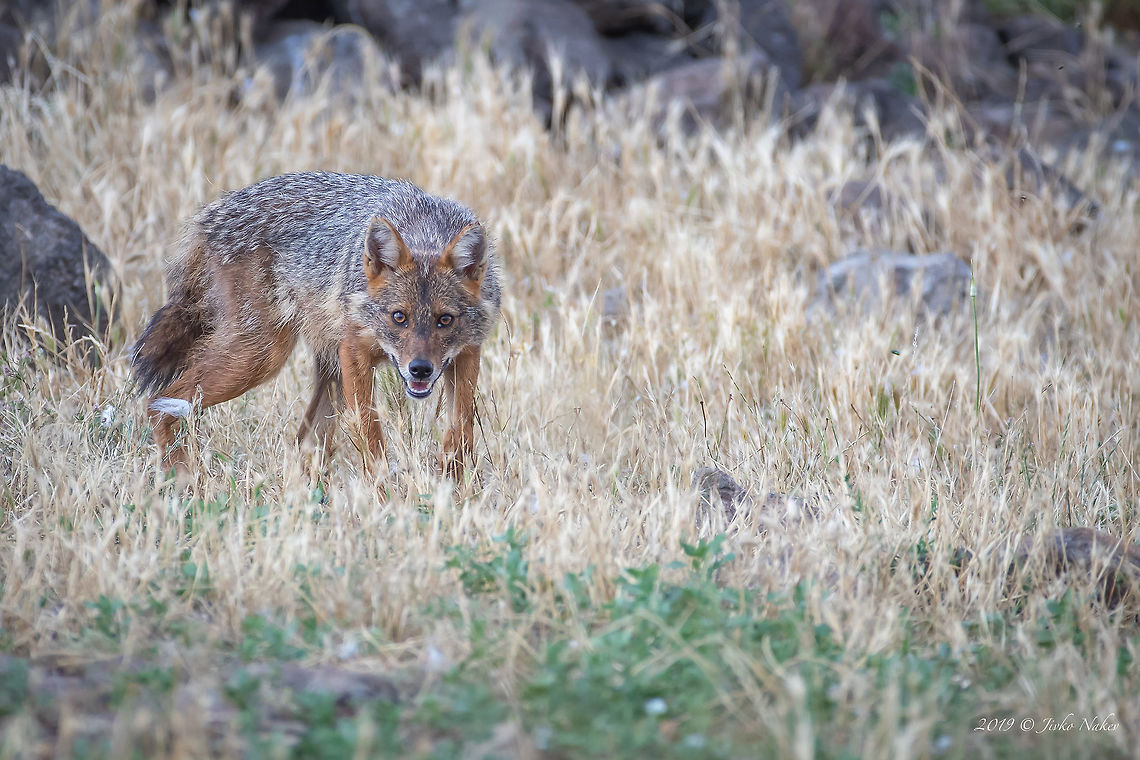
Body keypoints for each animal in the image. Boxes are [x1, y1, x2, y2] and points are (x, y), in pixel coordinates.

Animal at [131, 171, 501, 481]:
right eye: (399, 317)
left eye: (445, 320)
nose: (420, 370)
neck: (426, 232)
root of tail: (212, 213)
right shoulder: (354, 353)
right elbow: (372, 443)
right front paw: (388, 503)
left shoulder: (467, 354)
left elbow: (461, 434)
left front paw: (453, 493)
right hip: (259, 358)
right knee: (159, 404)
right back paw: (183, 485)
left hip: (321, 375)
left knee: (302, 443)